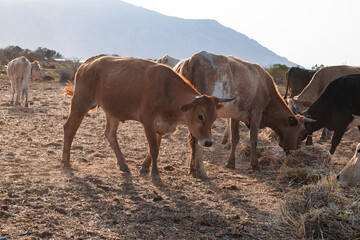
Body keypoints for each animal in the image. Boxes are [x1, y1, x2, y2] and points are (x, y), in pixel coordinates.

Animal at [63, 54, 235, 181]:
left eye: (214, 118)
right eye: (200, 116)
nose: (208, 142)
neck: (168, 90)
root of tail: (88, 62)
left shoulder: (161, 125)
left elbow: (155, 148)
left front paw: (145, 168)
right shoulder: (148, 122)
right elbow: (154, 149)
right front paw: (155, 175)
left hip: (112, 112)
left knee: (110, 134)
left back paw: (123, 165)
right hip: (80, 102)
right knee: (70, 128)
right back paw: (65, 161)